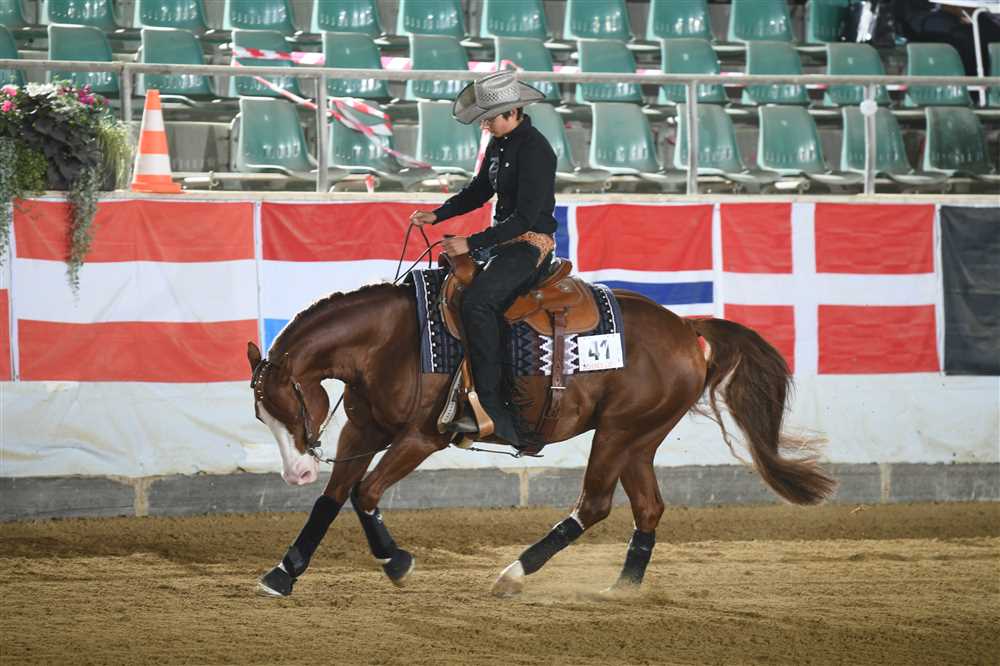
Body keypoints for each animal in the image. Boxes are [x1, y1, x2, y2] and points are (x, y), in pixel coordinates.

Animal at [247, 271, 836, 598]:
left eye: (287, 401)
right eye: (261, 415)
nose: (296, 471)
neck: (393, 341)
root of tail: (687, 329)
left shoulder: (421, 437)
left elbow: (366, 494)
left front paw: (397, 563)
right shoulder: (363, 428)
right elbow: (332, 499)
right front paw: (283, 573)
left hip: (618, 433)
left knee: (594, 505)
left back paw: (513, 574)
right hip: (640, 439)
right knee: (647, 509)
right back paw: (622, 589)